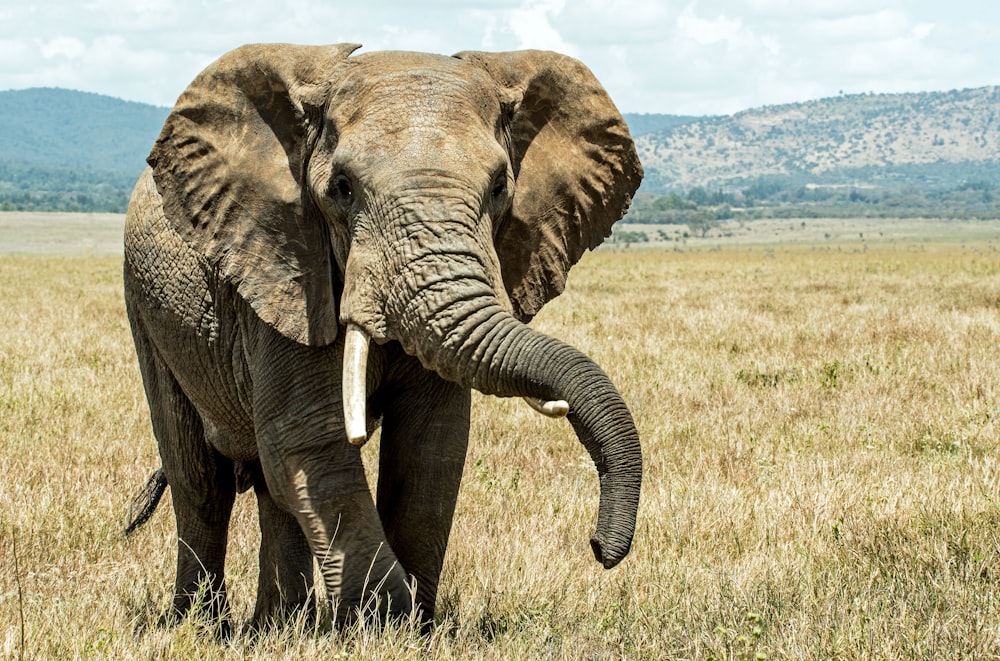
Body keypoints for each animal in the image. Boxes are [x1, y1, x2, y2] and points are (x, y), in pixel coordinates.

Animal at [123, 43, 640, 632]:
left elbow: (430, 446)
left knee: (269, 486)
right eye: (342, 189)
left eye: (499, 187)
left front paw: (413, 628)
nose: (599, 547)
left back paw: (278, 629)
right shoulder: (288, 271)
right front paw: (384, 622)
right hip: (147, 308)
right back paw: (202, 627)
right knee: (200, 480)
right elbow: (309, 439)